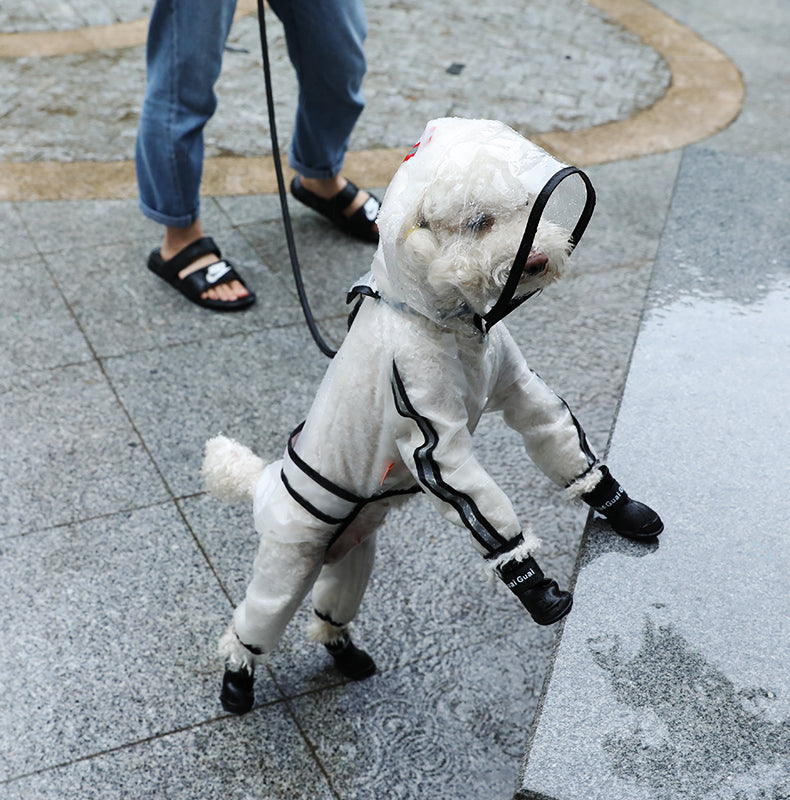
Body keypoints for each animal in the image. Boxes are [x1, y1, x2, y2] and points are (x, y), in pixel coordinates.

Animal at [203, 117, 664, 712]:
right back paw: (237, 681)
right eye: (478, 222)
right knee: (258, 622)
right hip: (290, 554)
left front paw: (618, 505)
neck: (444, 322)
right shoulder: (429, 427)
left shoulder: (519, 386)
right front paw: (536, 588)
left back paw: (344, 651)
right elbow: (476, 498)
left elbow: (556, 435)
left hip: (353, 556)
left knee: (331, 608)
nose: (537, 259)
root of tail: (262, 483)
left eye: (526, 208)